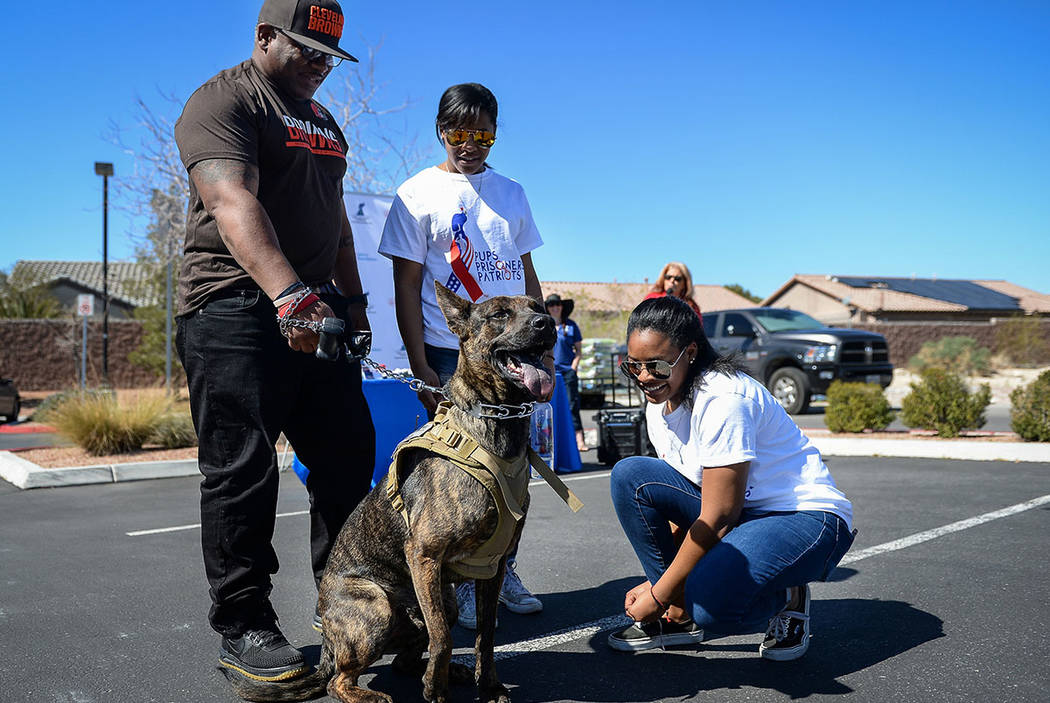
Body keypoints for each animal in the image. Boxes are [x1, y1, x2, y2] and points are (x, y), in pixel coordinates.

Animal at [226, 283, 562, 703]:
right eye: (500, 314)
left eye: (535, 306)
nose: (546, 322)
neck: (492, 424)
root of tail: (328, 649)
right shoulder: (424, 555)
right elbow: (443, 637)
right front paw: (435, 689)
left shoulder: (493, 566)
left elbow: (484, 637)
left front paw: (489, 687)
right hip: (377, 607)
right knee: (341, 681)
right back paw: (375, 693)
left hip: (443, 599)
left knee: (405, 658)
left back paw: (452, 672)